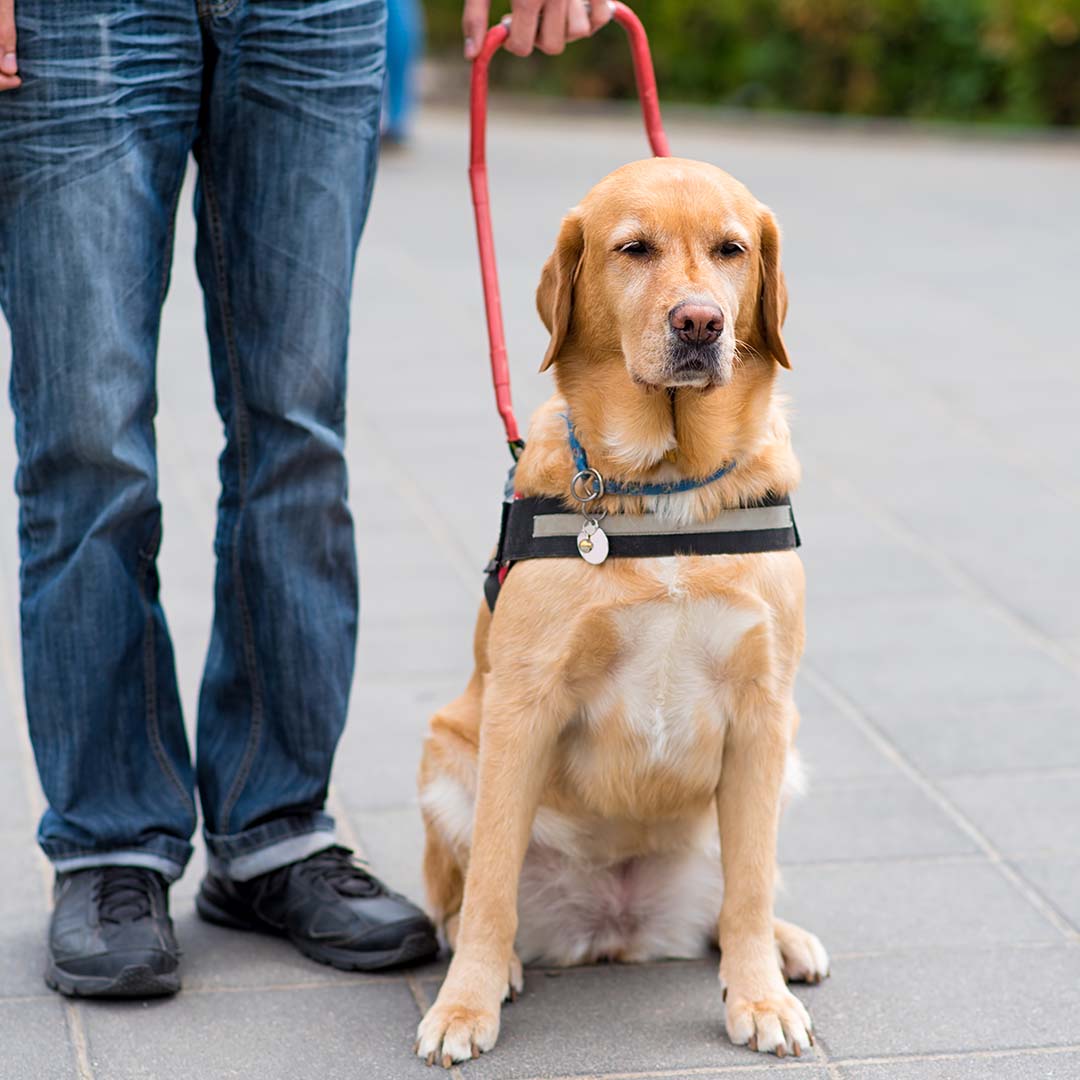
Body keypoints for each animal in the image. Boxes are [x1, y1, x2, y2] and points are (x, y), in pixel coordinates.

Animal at [412, 156, 825, 1067]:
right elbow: (490, 885)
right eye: (633, 249)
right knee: (462, 901)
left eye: (731, 249)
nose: (700, 322)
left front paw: (759, 997)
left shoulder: (764, 709)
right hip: (448, 757)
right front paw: (464, 1006)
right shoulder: (521, 708)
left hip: (786, 762)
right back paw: (496, 966)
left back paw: (783, 944)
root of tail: (616, 928)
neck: (669, 486)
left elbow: (748, 883)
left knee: (736, 896)